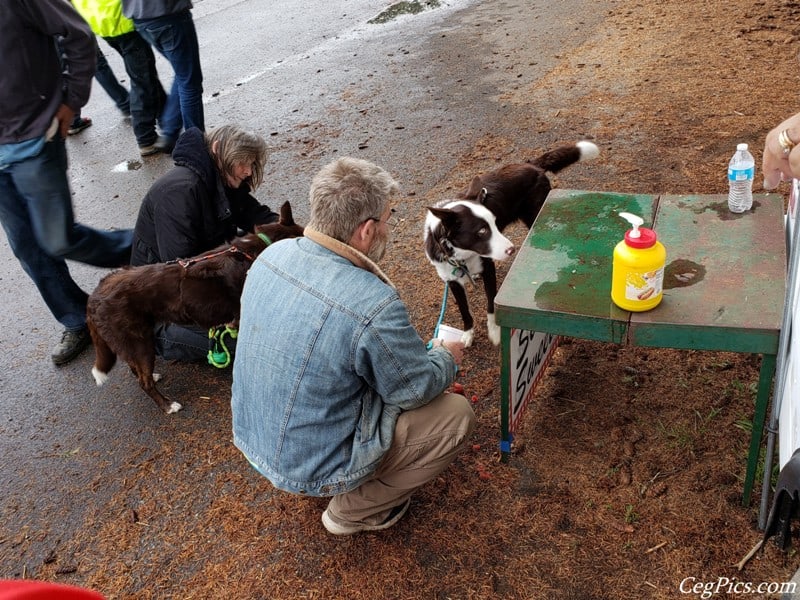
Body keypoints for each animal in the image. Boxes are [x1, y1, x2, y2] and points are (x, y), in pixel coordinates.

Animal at [87, 202, 304, 412]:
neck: (260, 247)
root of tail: (94, 298)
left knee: (137, 370)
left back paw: (154, 376)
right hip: (138, 342)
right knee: (144, 382)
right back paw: (168, 406)